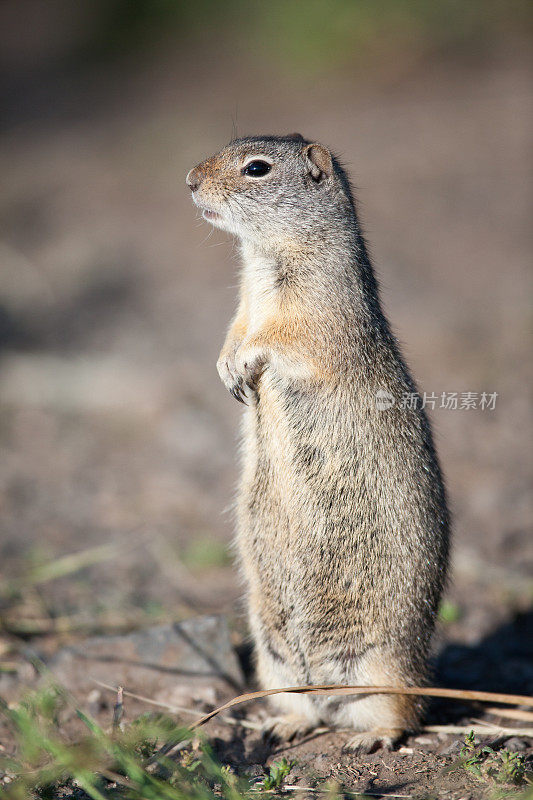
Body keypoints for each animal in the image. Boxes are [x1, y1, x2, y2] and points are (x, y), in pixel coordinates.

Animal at [185, 133, 446, 752]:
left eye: (256, 169)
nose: (189, 180)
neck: (264, 261)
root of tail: (329, 698)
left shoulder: (317, 313)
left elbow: (283, 338)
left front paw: (245, 362)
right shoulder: (243, 303)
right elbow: (234, 330)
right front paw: (226, 369)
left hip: (385, 668)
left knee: (408, 710)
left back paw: (370, 738)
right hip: (273, 660)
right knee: (305, 707)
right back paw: (283, 723)